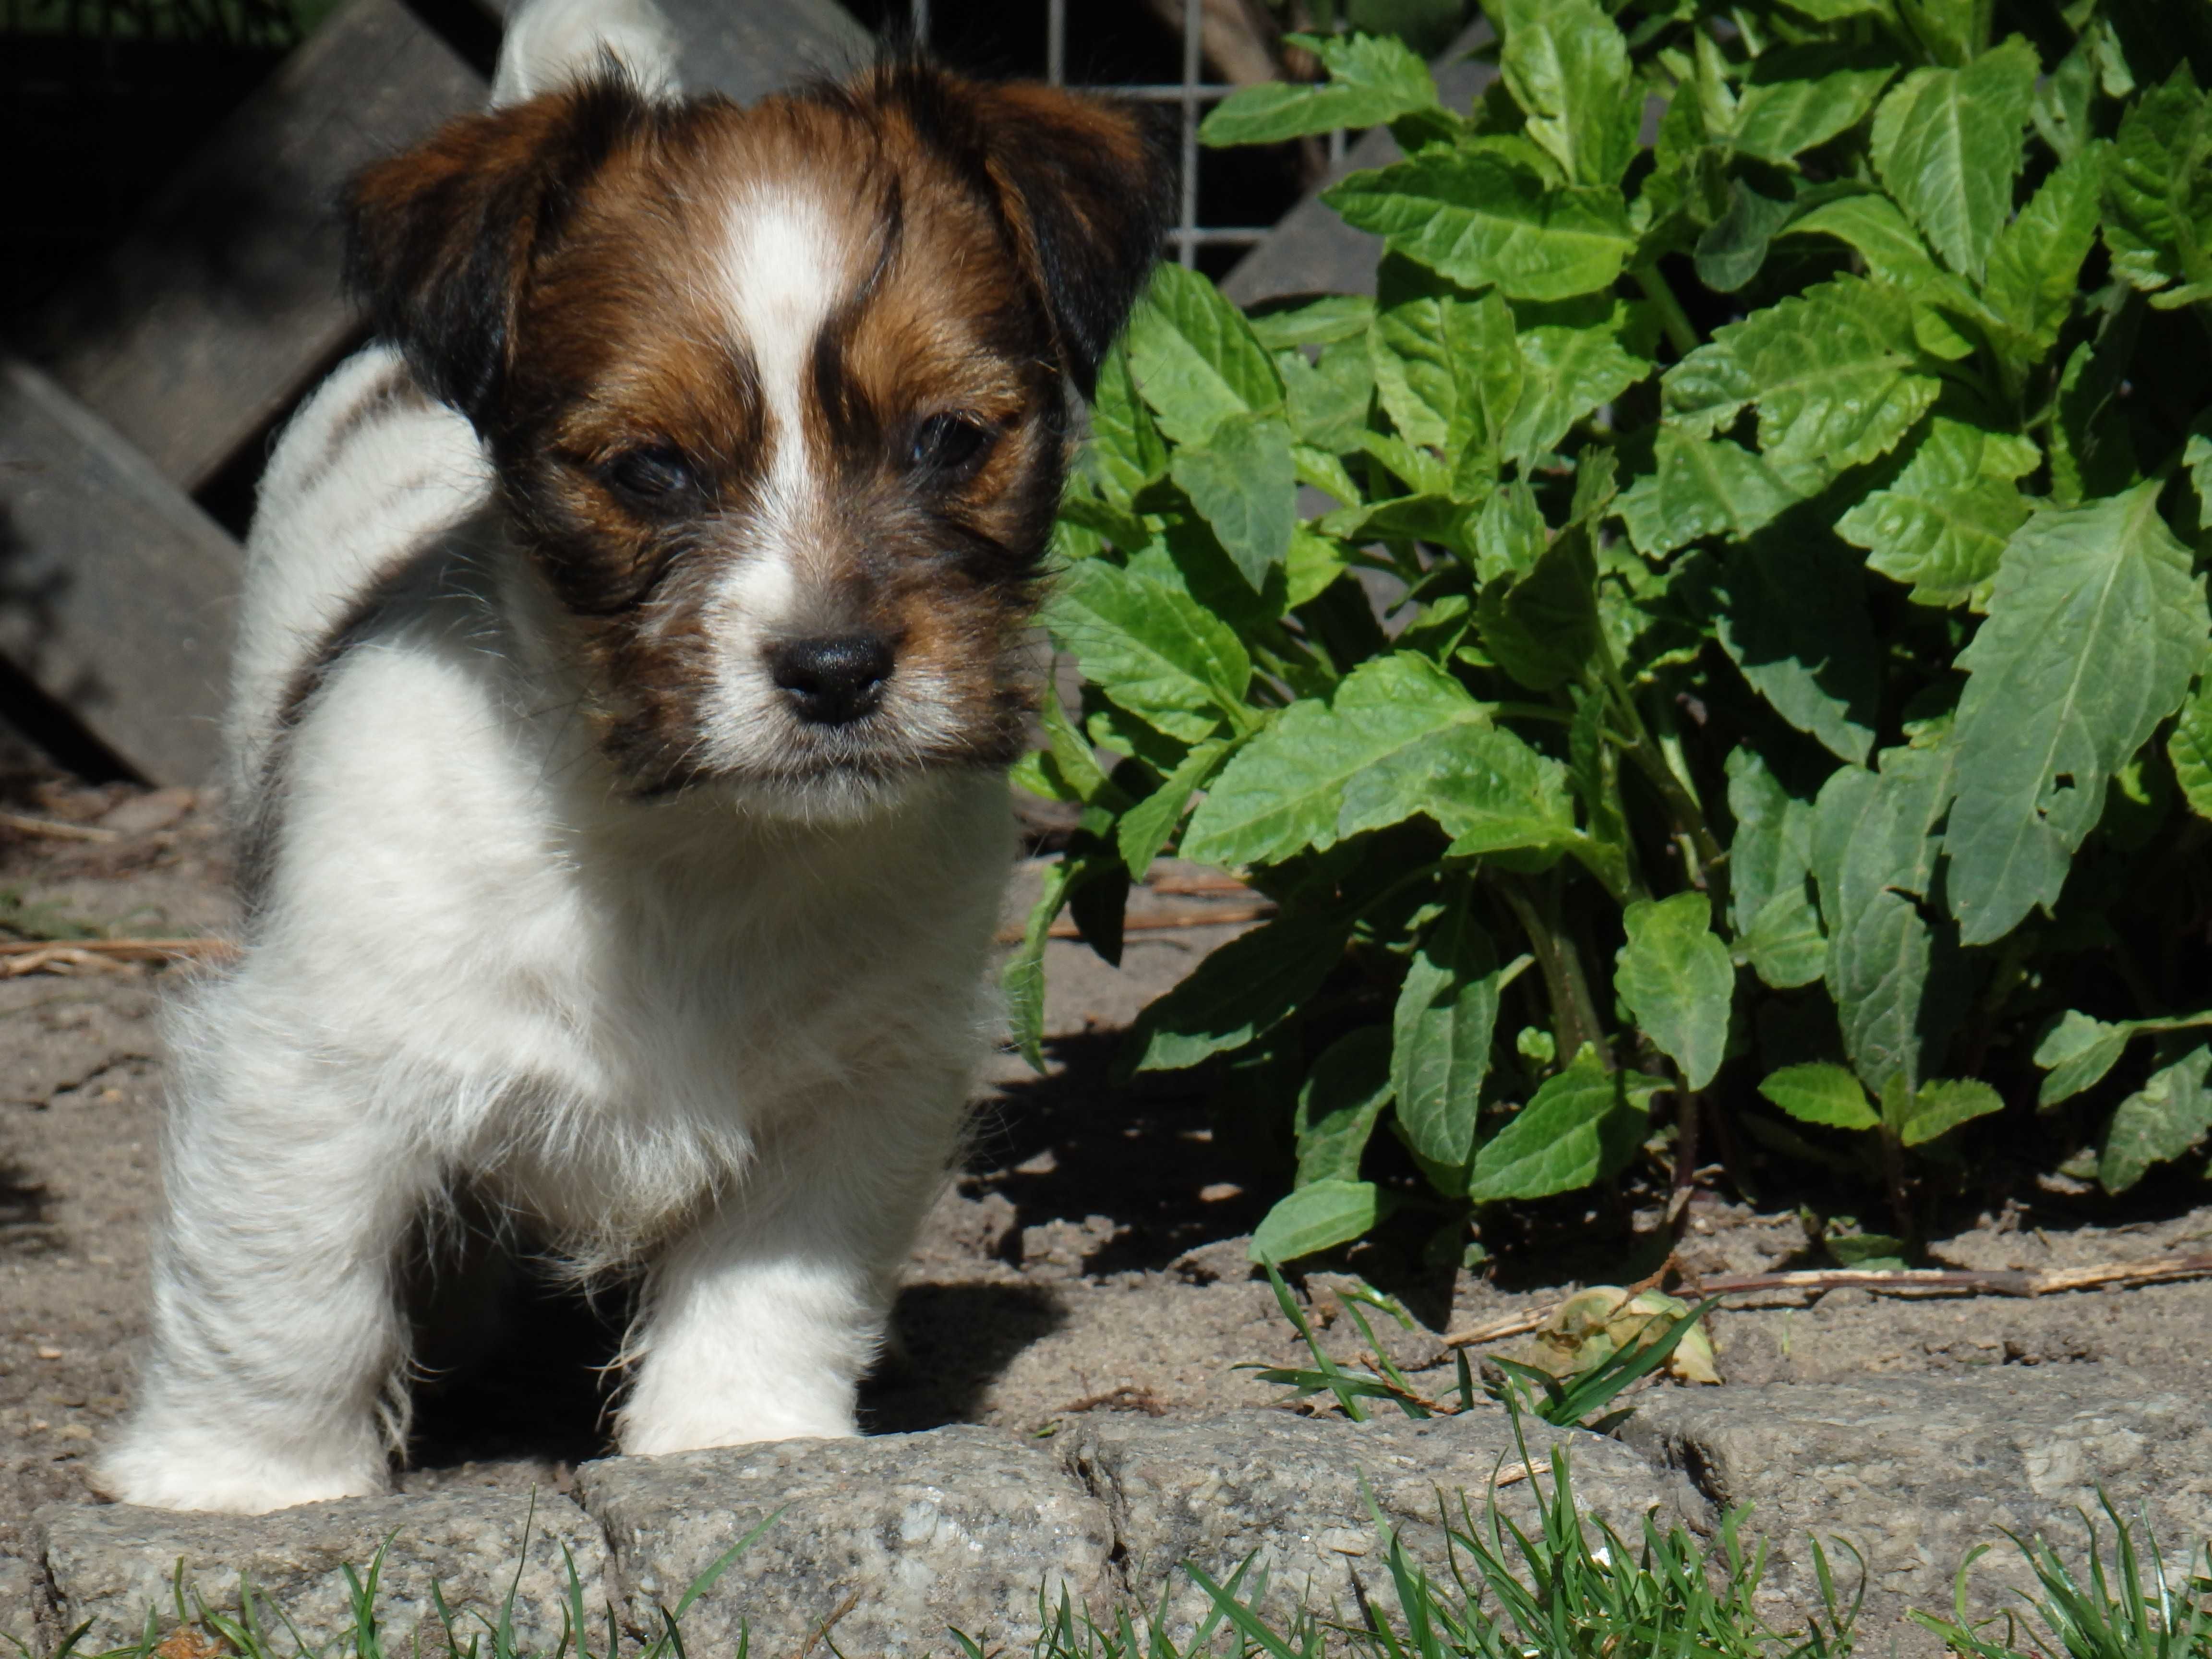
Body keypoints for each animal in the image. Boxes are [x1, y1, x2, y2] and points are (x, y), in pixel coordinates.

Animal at [99, 0, 1177, 1522]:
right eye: (651, 469)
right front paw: (243, 1484)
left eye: (950, 438)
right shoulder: (310, 1063)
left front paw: (738, 1434)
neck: (686, 835)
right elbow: (286, 1291)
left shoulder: (861, 1080)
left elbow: (774, 1276)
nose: (836, 669)